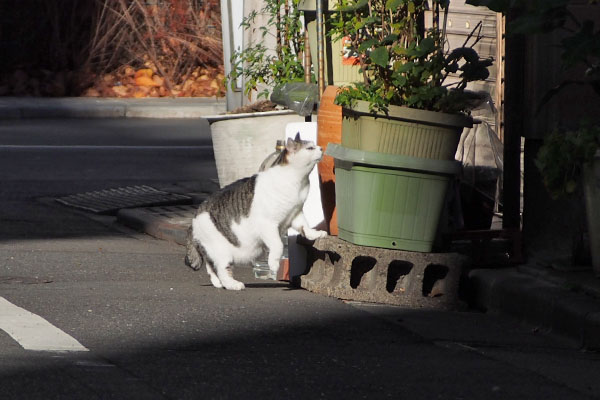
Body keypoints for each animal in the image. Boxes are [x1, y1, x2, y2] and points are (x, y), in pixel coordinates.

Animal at [186, 133, 328, 290]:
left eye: (315, 145)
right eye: (310, 148)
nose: (321, 148)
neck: (297, 181)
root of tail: (194, 219)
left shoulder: (295, 214)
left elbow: (305, 227)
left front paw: (315, 234)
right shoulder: (268, 224)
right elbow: (278, 245)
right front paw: (274, 264)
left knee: (211, 266)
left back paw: (218, 283)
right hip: (222, 252)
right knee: (222, 270)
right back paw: (233, 285)